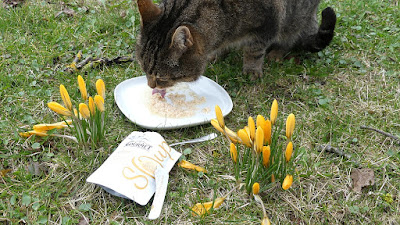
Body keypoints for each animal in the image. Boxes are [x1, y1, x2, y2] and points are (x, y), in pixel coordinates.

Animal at [136, 0, 336, 89]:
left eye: (162, 78)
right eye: (144, 70)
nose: (150, 86)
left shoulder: (269, 22)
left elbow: (254, 51)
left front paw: (251, 69)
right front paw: (216, 54)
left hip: (294, 18)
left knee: (292, 36)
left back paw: (277, 52)